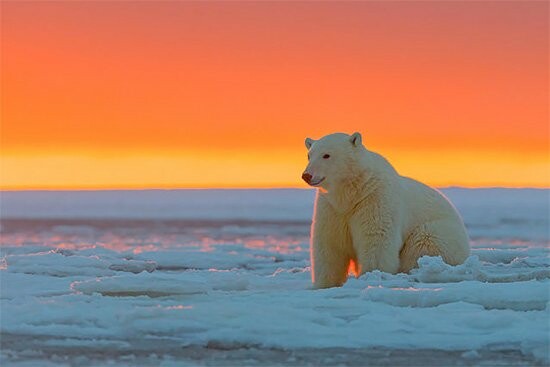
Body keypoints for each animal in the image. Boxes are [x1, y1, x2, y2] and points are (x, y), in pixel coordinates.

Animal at [304, 133, 472, 290]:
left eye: (326, 155)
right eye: (309, 155)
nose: (306, 175)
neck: (351, 193)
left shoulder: (374, 198)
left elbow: (376, 239)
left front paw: (372, 276)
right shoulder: (331, 208)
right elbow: (329, 244)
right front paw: (324, 284)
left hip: (440, 232)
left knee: (423, 243)